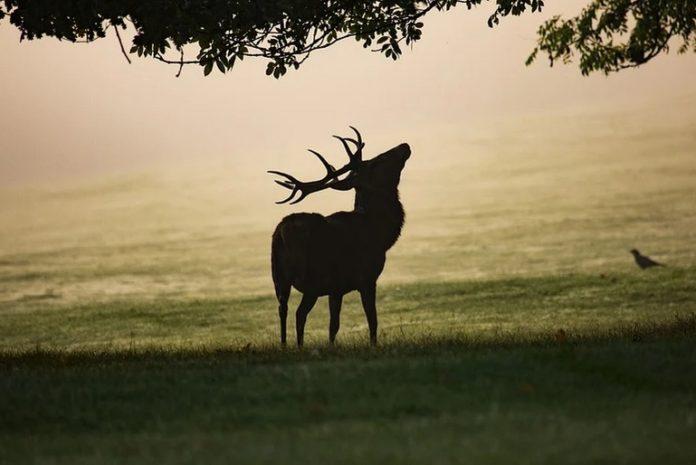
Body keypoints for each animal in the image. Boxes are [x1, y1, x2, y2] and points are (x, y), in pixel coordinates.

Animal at [270, 126, 410, 344]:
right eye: (376, 162)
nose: (404, 145)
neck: (381, 234)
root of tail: (281, 233)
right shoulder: (366, 277)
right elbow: (371, 320)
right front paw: (373, 345)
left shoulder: (336, 288)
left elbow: (333, 326)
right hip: (312, 278)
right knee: (299, 313)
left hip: (279, 276)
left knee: (284, 310)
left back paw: (288, 345)